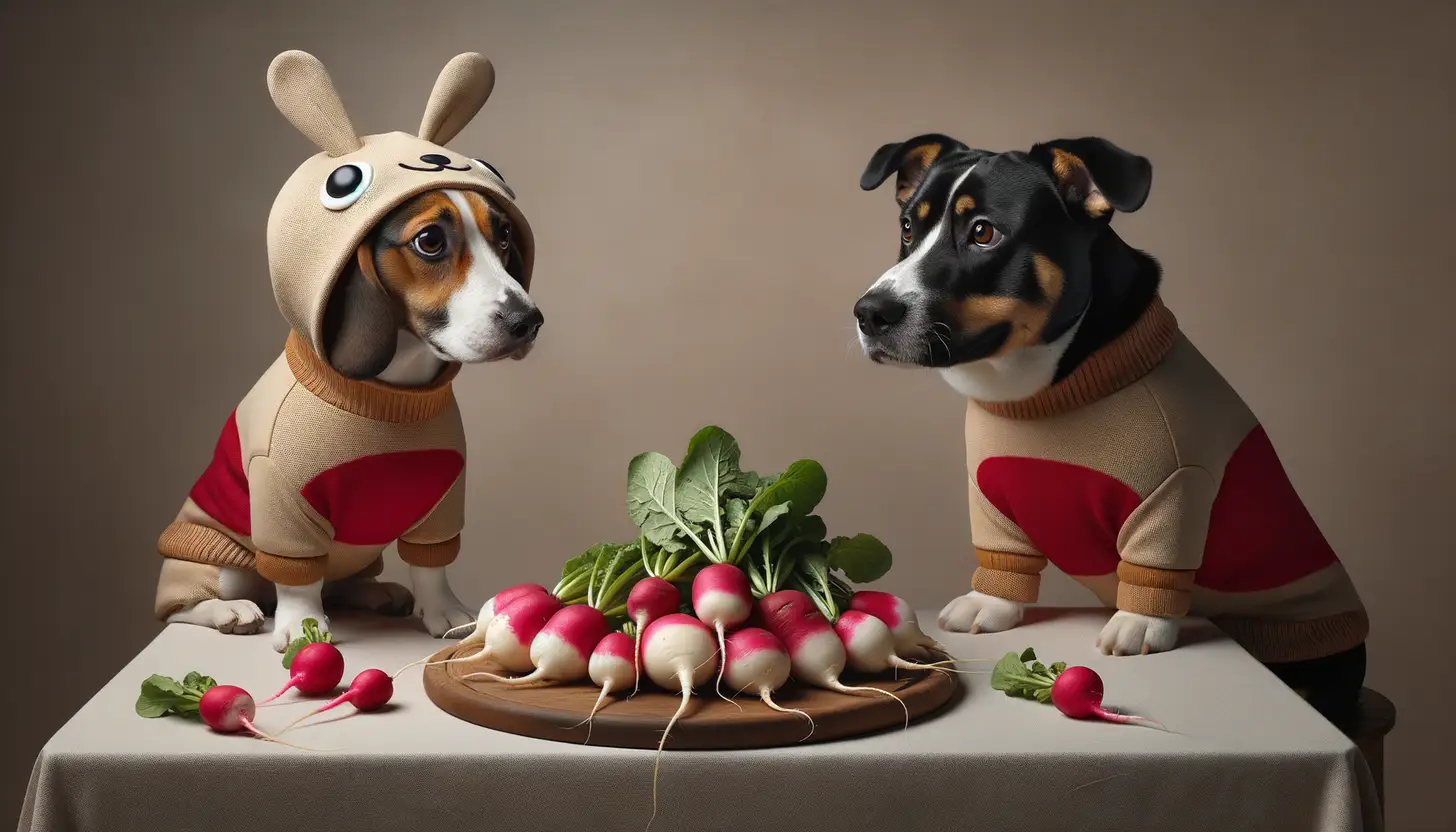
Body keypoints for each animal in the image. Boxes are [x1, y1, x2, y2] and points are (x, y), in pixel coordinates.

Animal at [155, 52, 541, 649]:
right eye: (430, 241)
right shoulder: (282, 499)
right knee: (184, 605)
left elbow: (432, 563)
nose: (528, 321)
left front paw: (444, 611)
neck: (387, 393)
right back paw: (232, 611)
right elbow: (297, 580)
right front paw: (301, 626)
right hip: (216, 559)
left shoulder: (443, 493)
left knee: (341, 583)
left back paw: (374, 593)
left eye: (502, 235)